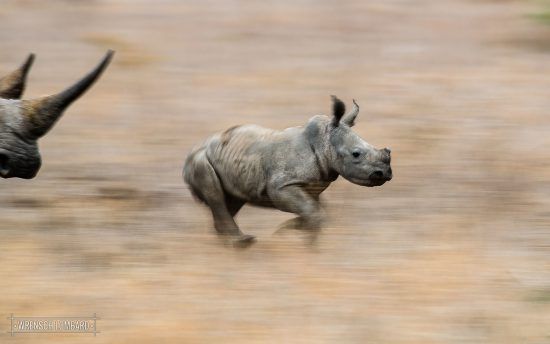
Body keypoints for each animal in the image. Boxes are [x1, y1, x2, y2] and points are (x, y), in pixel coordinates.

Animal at [184, 97, 392, 246]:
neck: (323, 142)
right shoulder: (281, 186)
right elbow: (314, 212)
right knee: (216, 195)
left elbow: (316, 212)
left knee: (232, 200)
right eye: (356, 154)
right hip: (200, 159)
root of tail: (194, 148)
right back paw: (242, 243)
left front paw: (284, 231)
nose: (384, 173)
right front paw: (304, 243)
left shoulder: (312, 187)